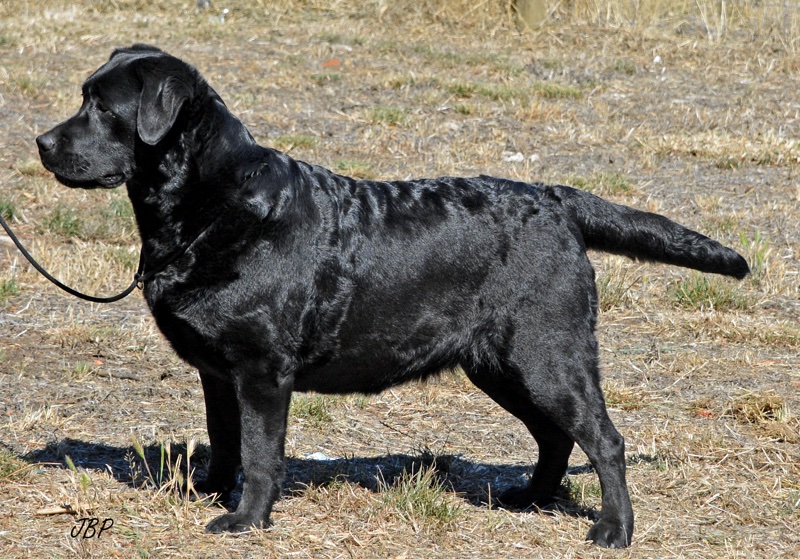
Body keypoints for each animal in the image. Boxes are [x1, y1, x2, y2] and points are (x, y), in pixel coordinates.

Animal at [36, 44, 752, 548]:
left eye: (104, 109)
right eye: (82, 98)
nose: (42, 142)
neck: (213, 204)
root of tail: (555, 200)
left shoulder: (263, 371)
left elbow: (263, 453)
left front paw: (245, 520)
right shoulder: (219, 372)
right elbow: (224, 438)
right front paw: (212, 495)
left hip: (548, 355)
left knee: (604, 440)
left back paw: (613, 531)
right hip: (502, 364)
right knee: (555, 437)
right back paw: (529, 498)